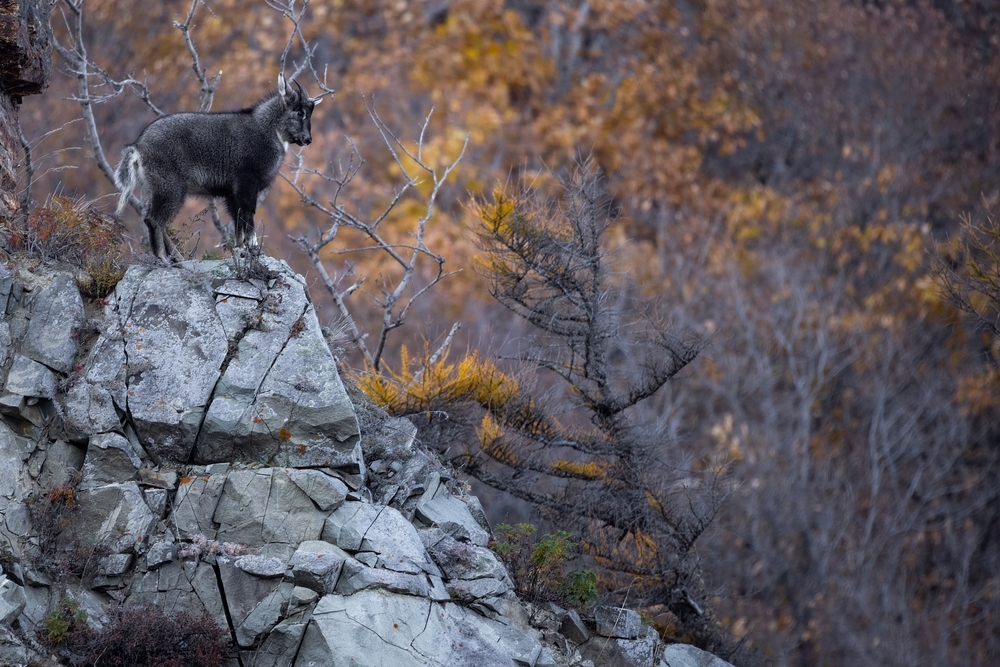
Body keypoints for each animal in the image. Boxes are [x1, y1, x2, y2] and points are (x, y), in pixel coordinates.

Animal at [116, 73, 320, 260]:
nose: (308, 139)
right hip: (169, 187)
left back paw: (177, 258)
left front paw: (241, 249)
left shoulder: (231, 193)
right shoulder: (246, 182)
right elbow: (248, 214)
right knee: (154, 220)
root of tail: (138, 146)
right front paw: (254, 248)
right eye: (299, 112)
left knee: (156, 221)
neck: (268, 130)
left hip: (156, 188)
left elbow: (238, 220)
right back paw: (163, 259)